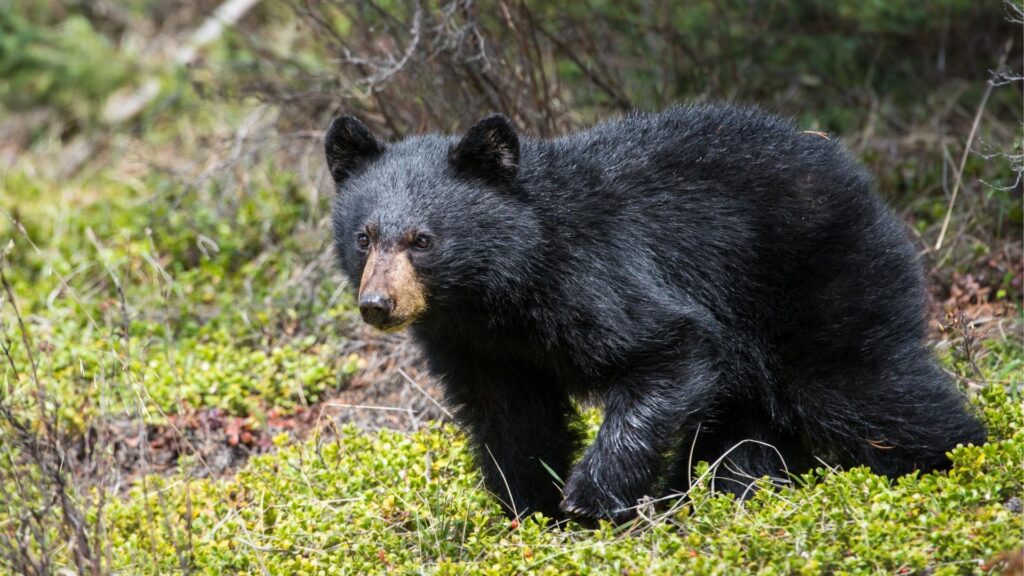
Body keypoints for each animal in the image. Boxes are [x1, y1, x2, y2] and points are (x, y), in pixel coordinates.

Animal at [323, 103, 987, 520]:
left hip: (817, 281)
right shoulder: (474, 343)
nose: (378, 305)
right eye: (365, 237)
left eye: (422, 240)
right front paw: (531, 508)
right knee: (747, 430)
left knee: (864, 388)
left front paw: (588, 497)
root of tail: (857, 177)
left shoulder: (594, 276)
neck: (498, 288)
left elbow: (668, 348)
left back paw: (963, 462)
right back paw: (720, 495)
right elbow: (510, 417)